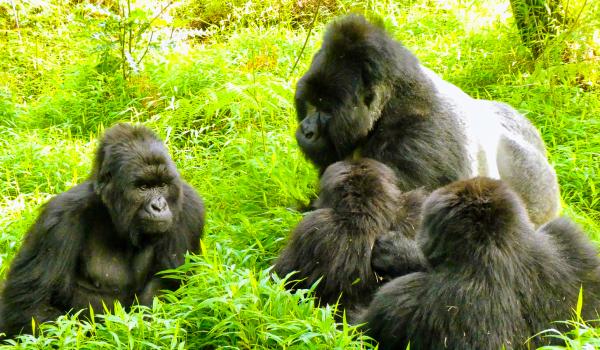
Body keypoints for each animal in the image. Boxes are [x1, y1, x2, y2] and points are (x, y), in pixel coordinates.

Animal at [0, 122, 205, 336]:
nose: (159, 206)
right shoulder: (59, 218)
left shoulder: (189, 208)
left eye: (162, 185)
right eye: (143, 188)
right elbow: (30, 305)